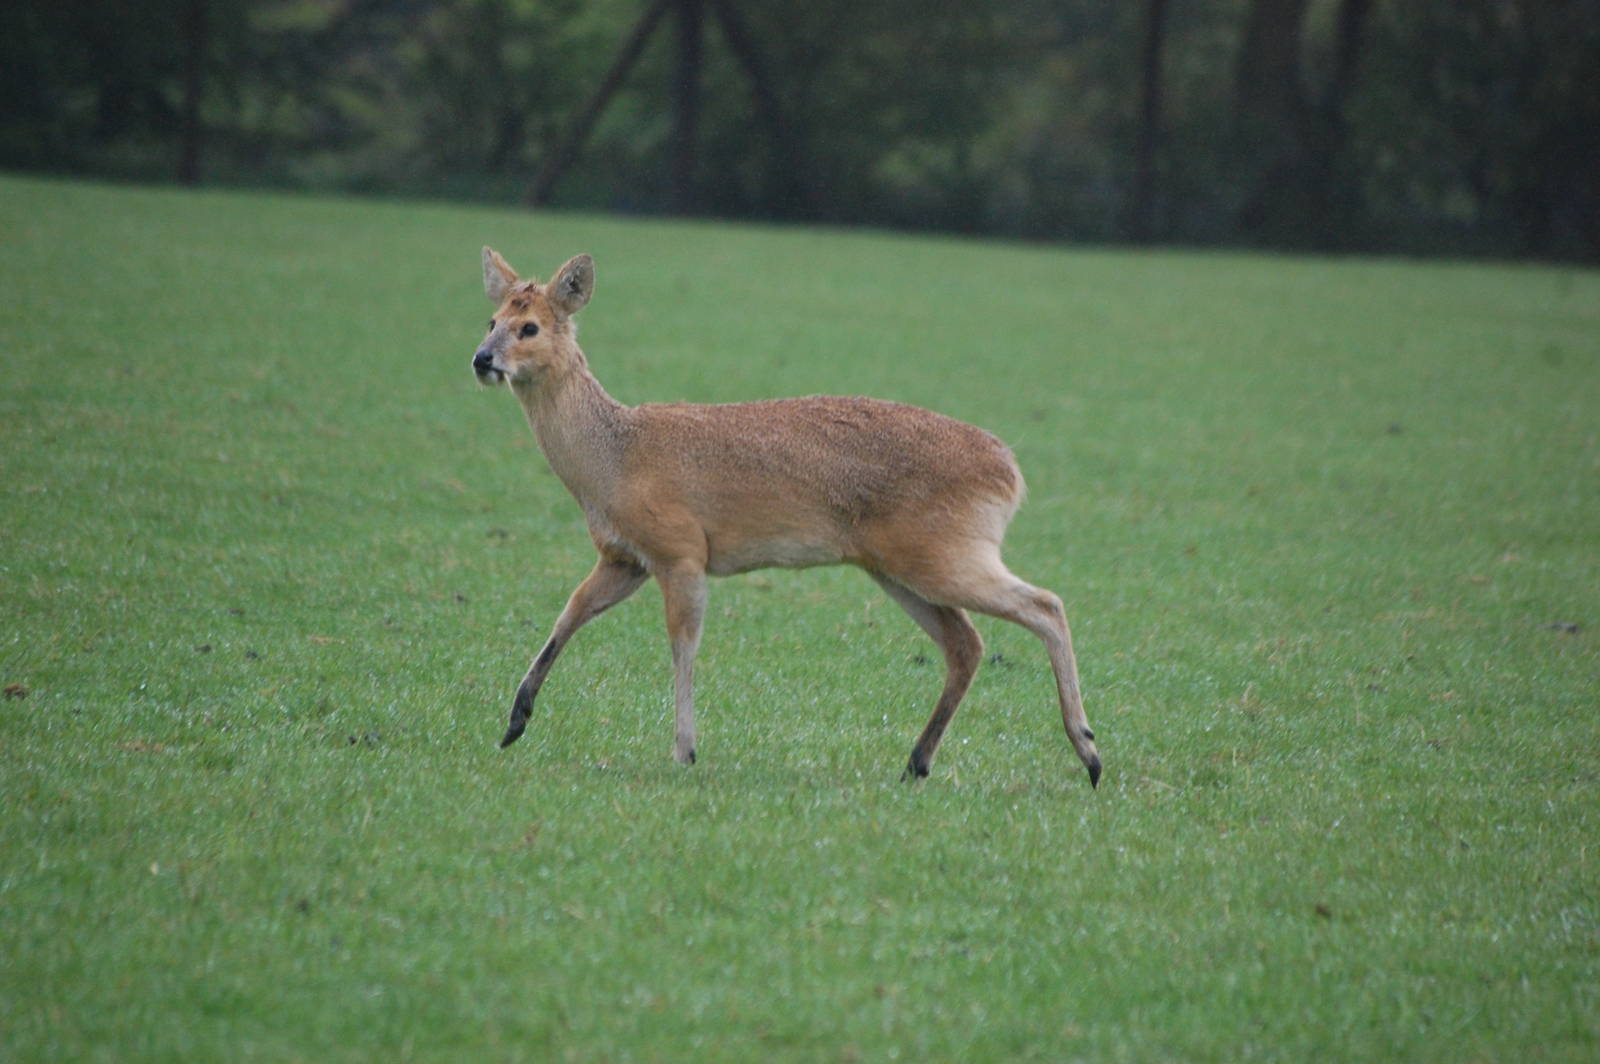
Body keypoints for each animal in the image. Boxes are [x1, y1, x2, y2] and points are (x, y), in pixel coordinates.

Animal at [470, 247, 1101, 787]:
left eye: (530, 328)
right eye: (491, 319)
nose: (482, 359)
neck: (613, 459)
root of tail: (1009, 469)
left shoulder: (681, 551)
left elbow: (682, 645)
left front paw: (685, 750)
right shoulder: (624, 557)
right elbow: (570, 613)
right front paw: (515, 720)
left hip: (944, 552)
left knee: (1045, 604)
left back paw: (1089, 751)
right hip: (899, 565)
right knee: (966, 643)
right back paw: (917, 762)